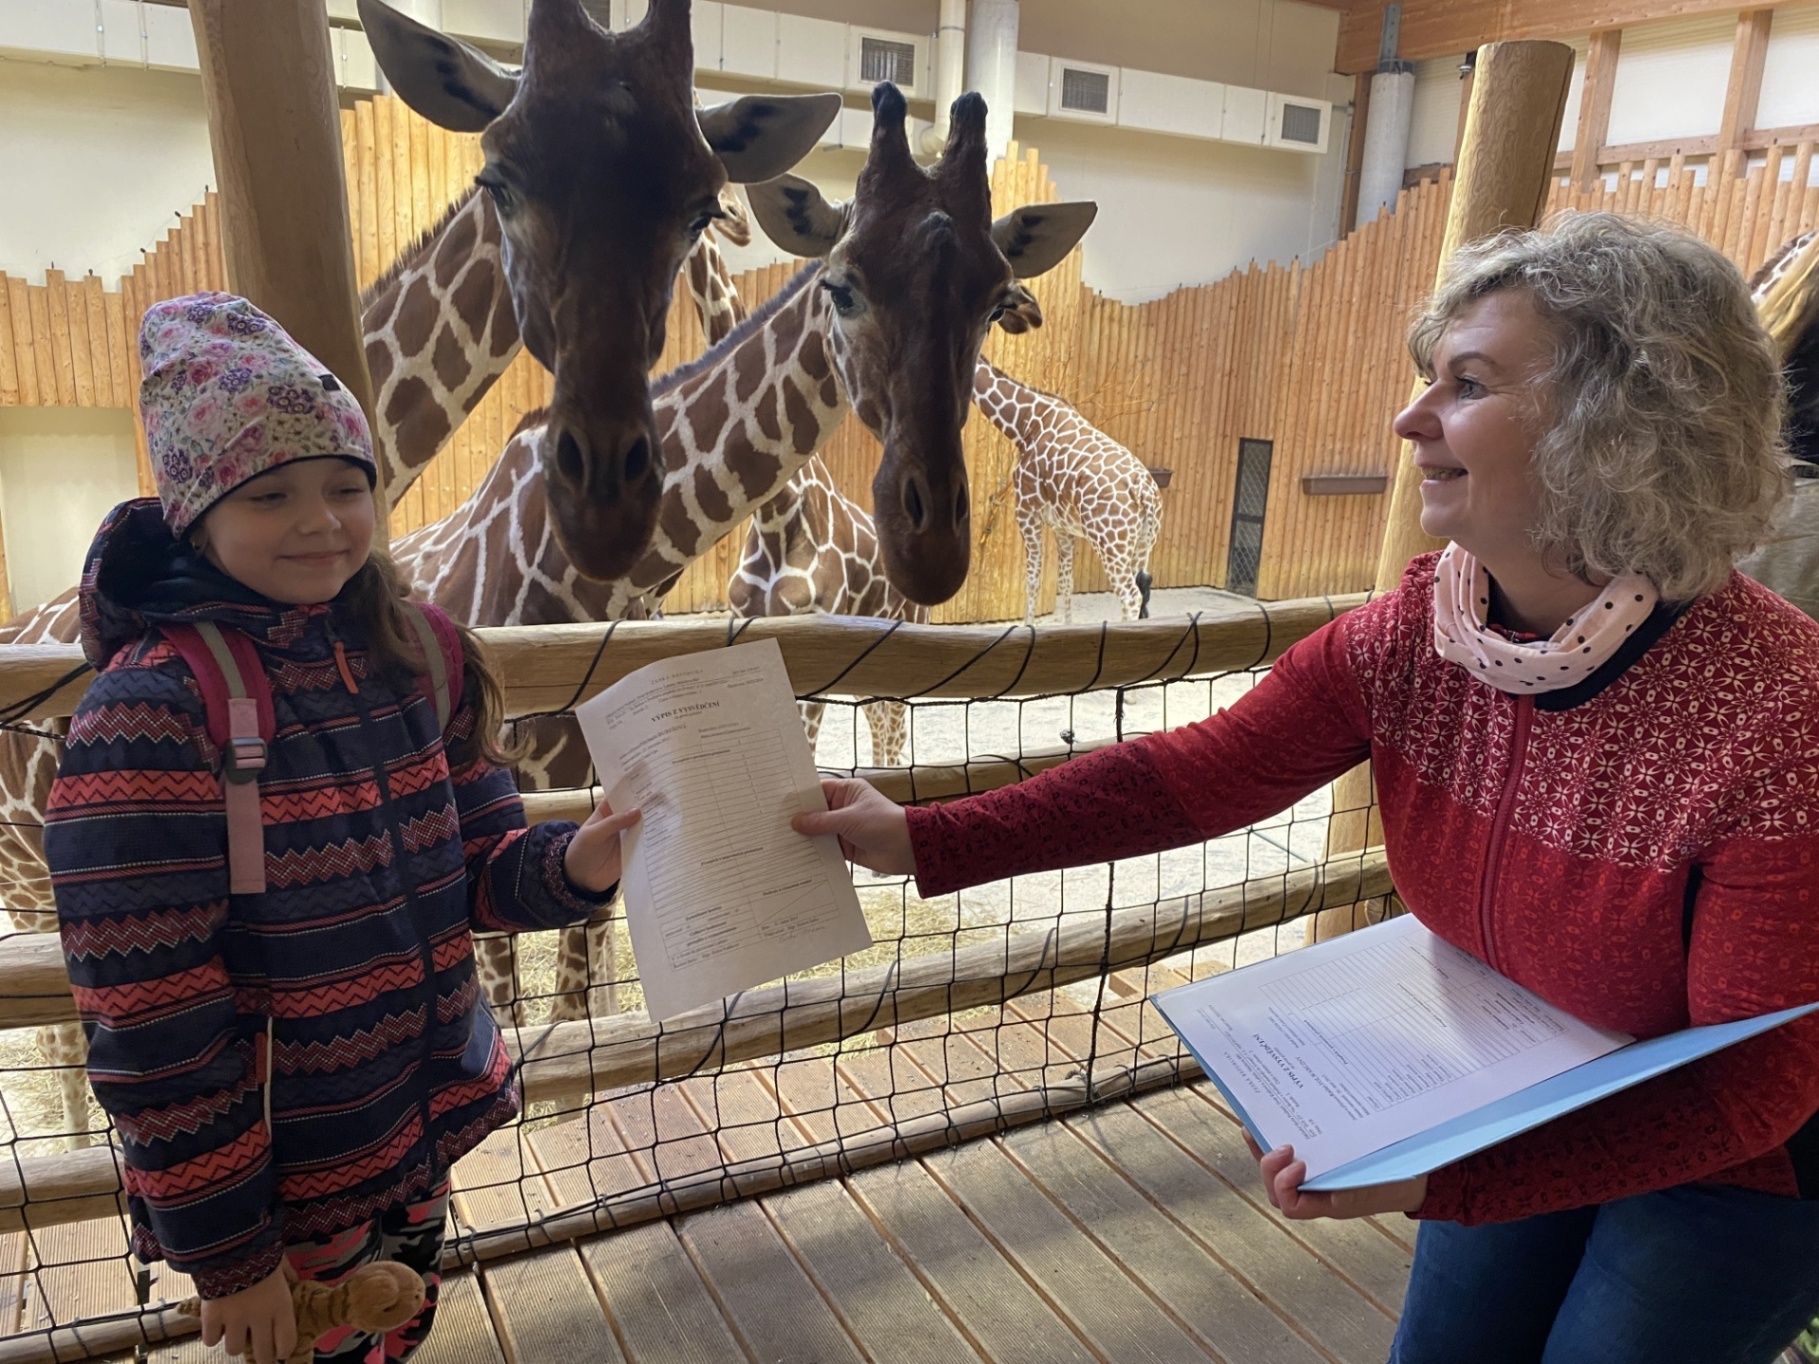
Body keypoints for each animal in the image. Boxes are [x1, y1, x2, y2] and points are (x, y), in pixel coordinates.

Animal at [0, 0, 839, 1147]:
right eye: (499, 176)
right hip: (22, 879)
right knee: (54, 1029)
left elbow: (570, 985)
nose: (607, 491)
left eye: (698, 199)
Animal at [391, 85, 1097, 1022]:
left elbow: (574, 998)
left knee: (890, 724)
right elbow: (533, 997)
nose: (934, 537)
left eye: (990, 296)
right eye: (840, 287)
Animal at [972, 356, 1163, 624]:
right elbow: (1066, 583)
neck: (1025, 424)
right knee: (1143, 589)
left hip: (1110, 543)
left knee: (1130, 596)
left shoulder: (1026, 510)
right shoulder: (1062, 527)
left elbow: (1032, 579)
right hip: (1143, 543)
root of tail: (1145, 490)